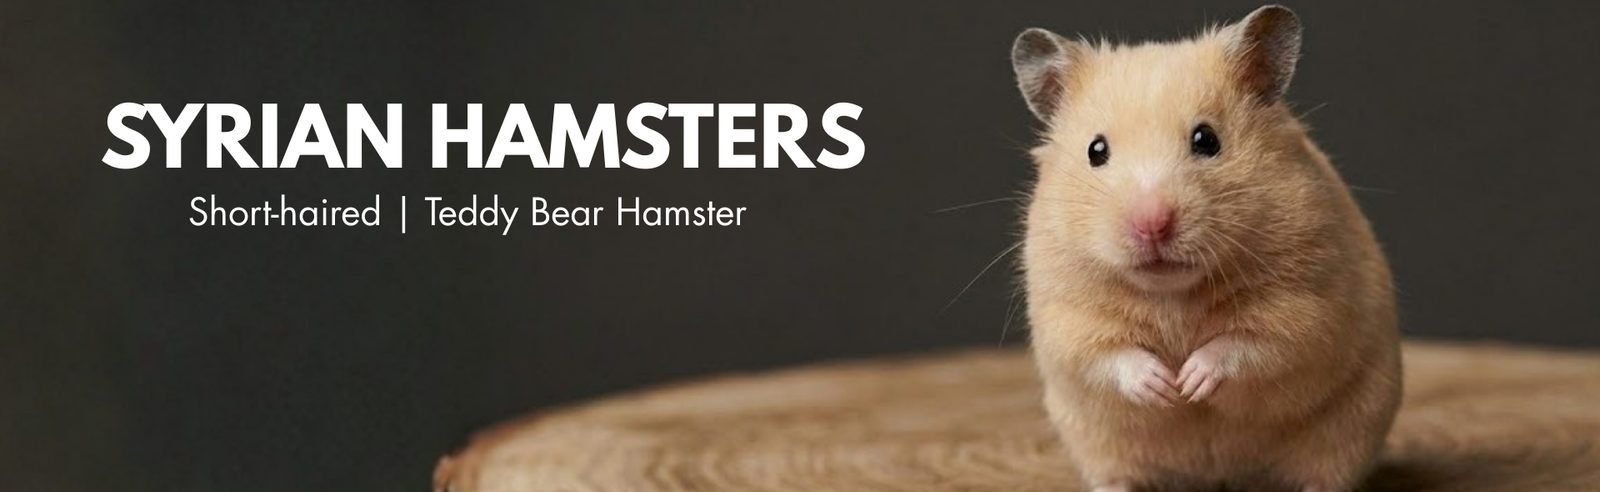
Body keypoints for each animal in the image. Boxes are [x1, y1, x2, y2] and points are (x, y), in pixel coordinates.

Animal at [1011, 5, 1401, 492]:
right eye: (1095, 150)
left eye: (1207, 140)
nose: (1152, 224)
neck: (1171, 292)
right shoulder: (1067, 316)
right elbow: (1107, 354)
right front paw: (1164, 387)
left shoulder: (1304, 303)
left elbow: (1251, 343)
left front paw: (1190, 383)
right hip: (1094, 443)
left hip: (1352, 425)